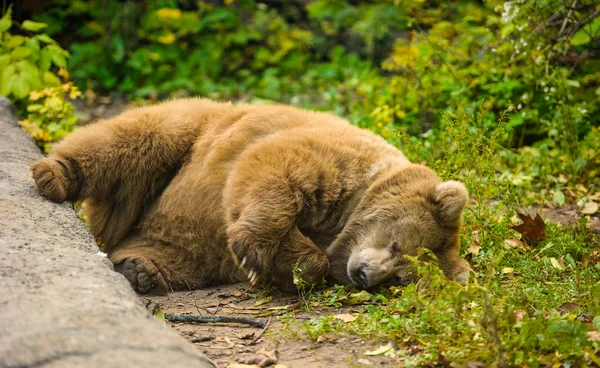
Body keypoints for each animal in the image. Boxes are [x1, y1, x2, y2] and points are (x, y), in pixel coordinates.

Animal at [30, 98, 472, 294]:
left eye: (399, 277)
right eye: (397, 245)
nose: (364, 274)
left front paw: (284, 266)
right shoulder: (330, 162)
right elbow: (272, 171)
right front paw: (255, 252)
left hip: (179, 239)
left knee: (172, 251)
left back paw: (140, 269)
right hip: (193, 130)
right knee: (137, 138)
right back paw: (52, 174)